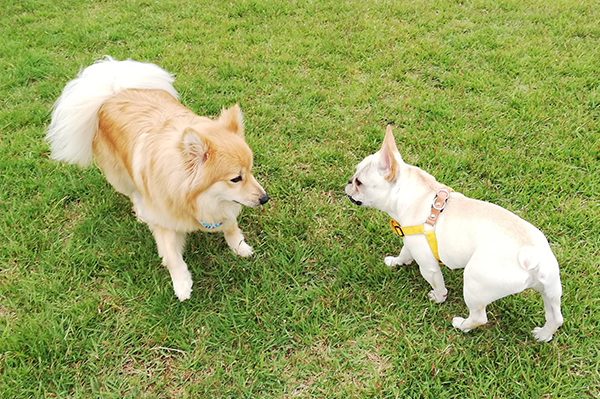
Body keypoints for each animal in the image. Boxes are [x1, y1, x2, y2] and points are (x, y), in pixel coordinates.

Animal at [344, 126, 564, 342]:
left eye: (359, 182)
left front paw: (438, 297)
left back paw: (462, 325)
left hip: (475, 282)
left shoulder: (428, 265)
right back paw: (543, 335)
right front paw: (395, 262)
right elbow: (404, 252)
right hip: (551, 290)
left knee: (479, 317)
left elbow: (438, 284)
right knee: (556, 317)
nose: (348, 181)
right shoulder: (411, 241)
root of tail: (535, 256)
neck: (411, 192)